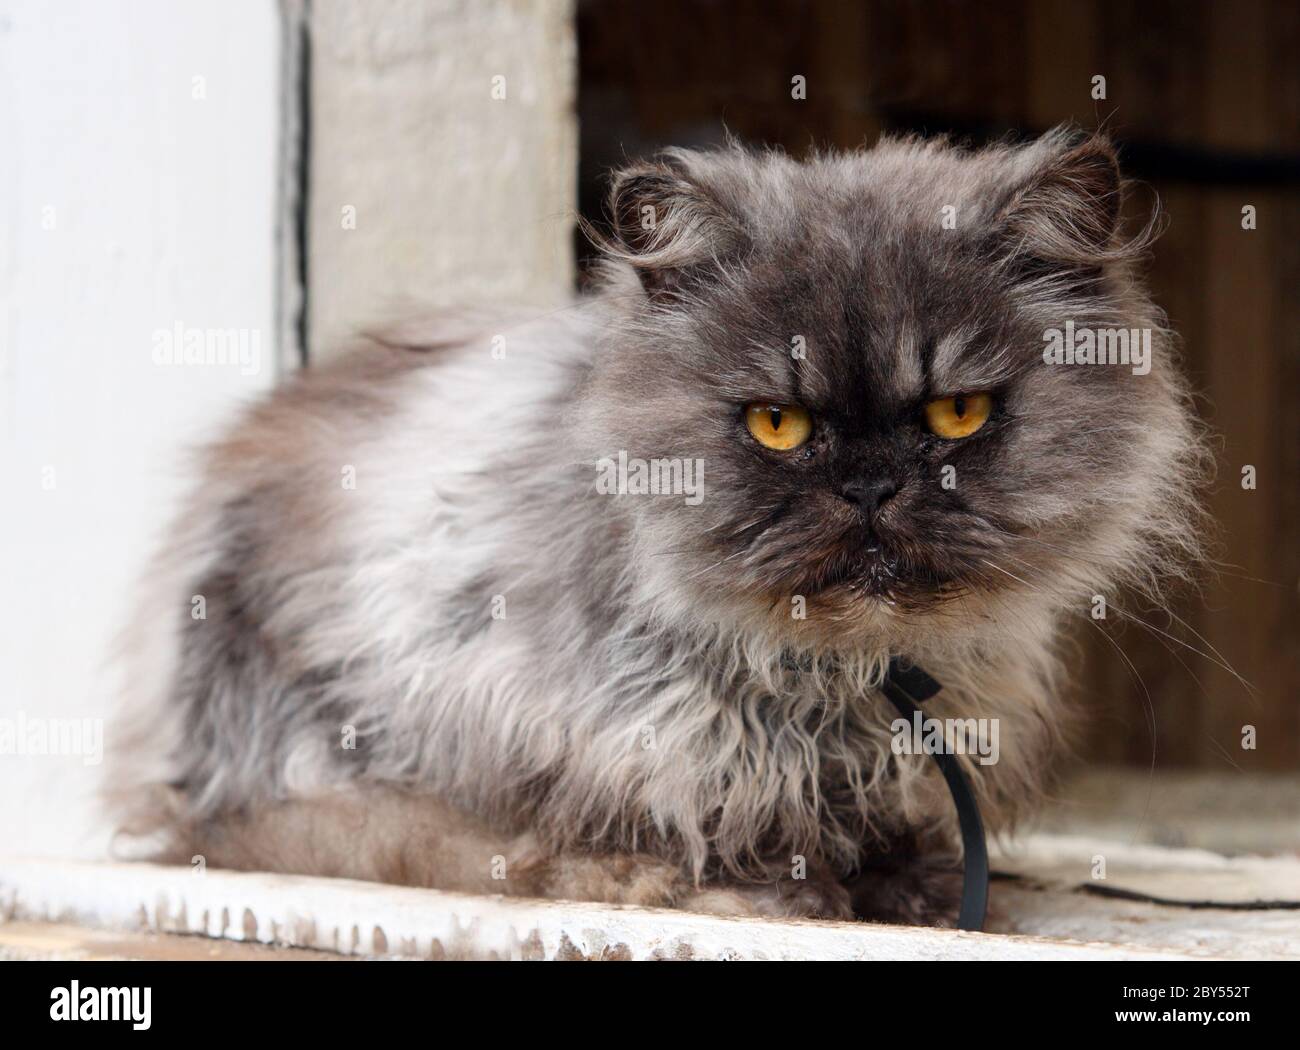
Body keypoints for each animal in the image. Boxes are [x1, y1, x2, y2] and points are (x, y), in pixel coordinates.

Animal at [109, 127, 1206, 925]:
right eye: (776, 424)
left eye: (957, 415)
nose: (869, 488)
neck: (846, 671)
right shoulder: (562, 712)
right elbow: (691, 817)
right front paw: (774, 888)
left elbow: (881, 817)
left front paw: (915, 887)